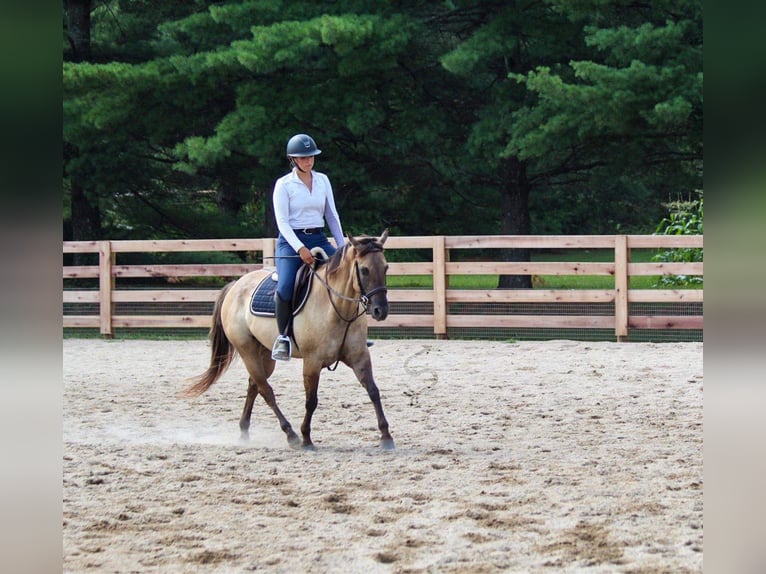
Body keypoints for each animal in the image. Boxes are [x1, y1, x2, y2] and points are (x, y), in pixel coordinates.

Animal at [182, 230, 392, 450]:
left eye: (385, 267)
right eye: (365, 270)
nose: (381, 310)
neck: (336, 307)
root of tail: (235, 286)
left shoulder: (359, 357)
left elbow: (373, 391)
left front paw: (386, 436)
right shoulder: (312, 362)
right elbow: (311, 401)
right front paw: (307, 439)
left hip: (265, 354)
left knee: (254, 385)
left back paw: (244, 430)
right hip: (247, 351)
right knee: (266, 390)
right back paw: (291, 434)